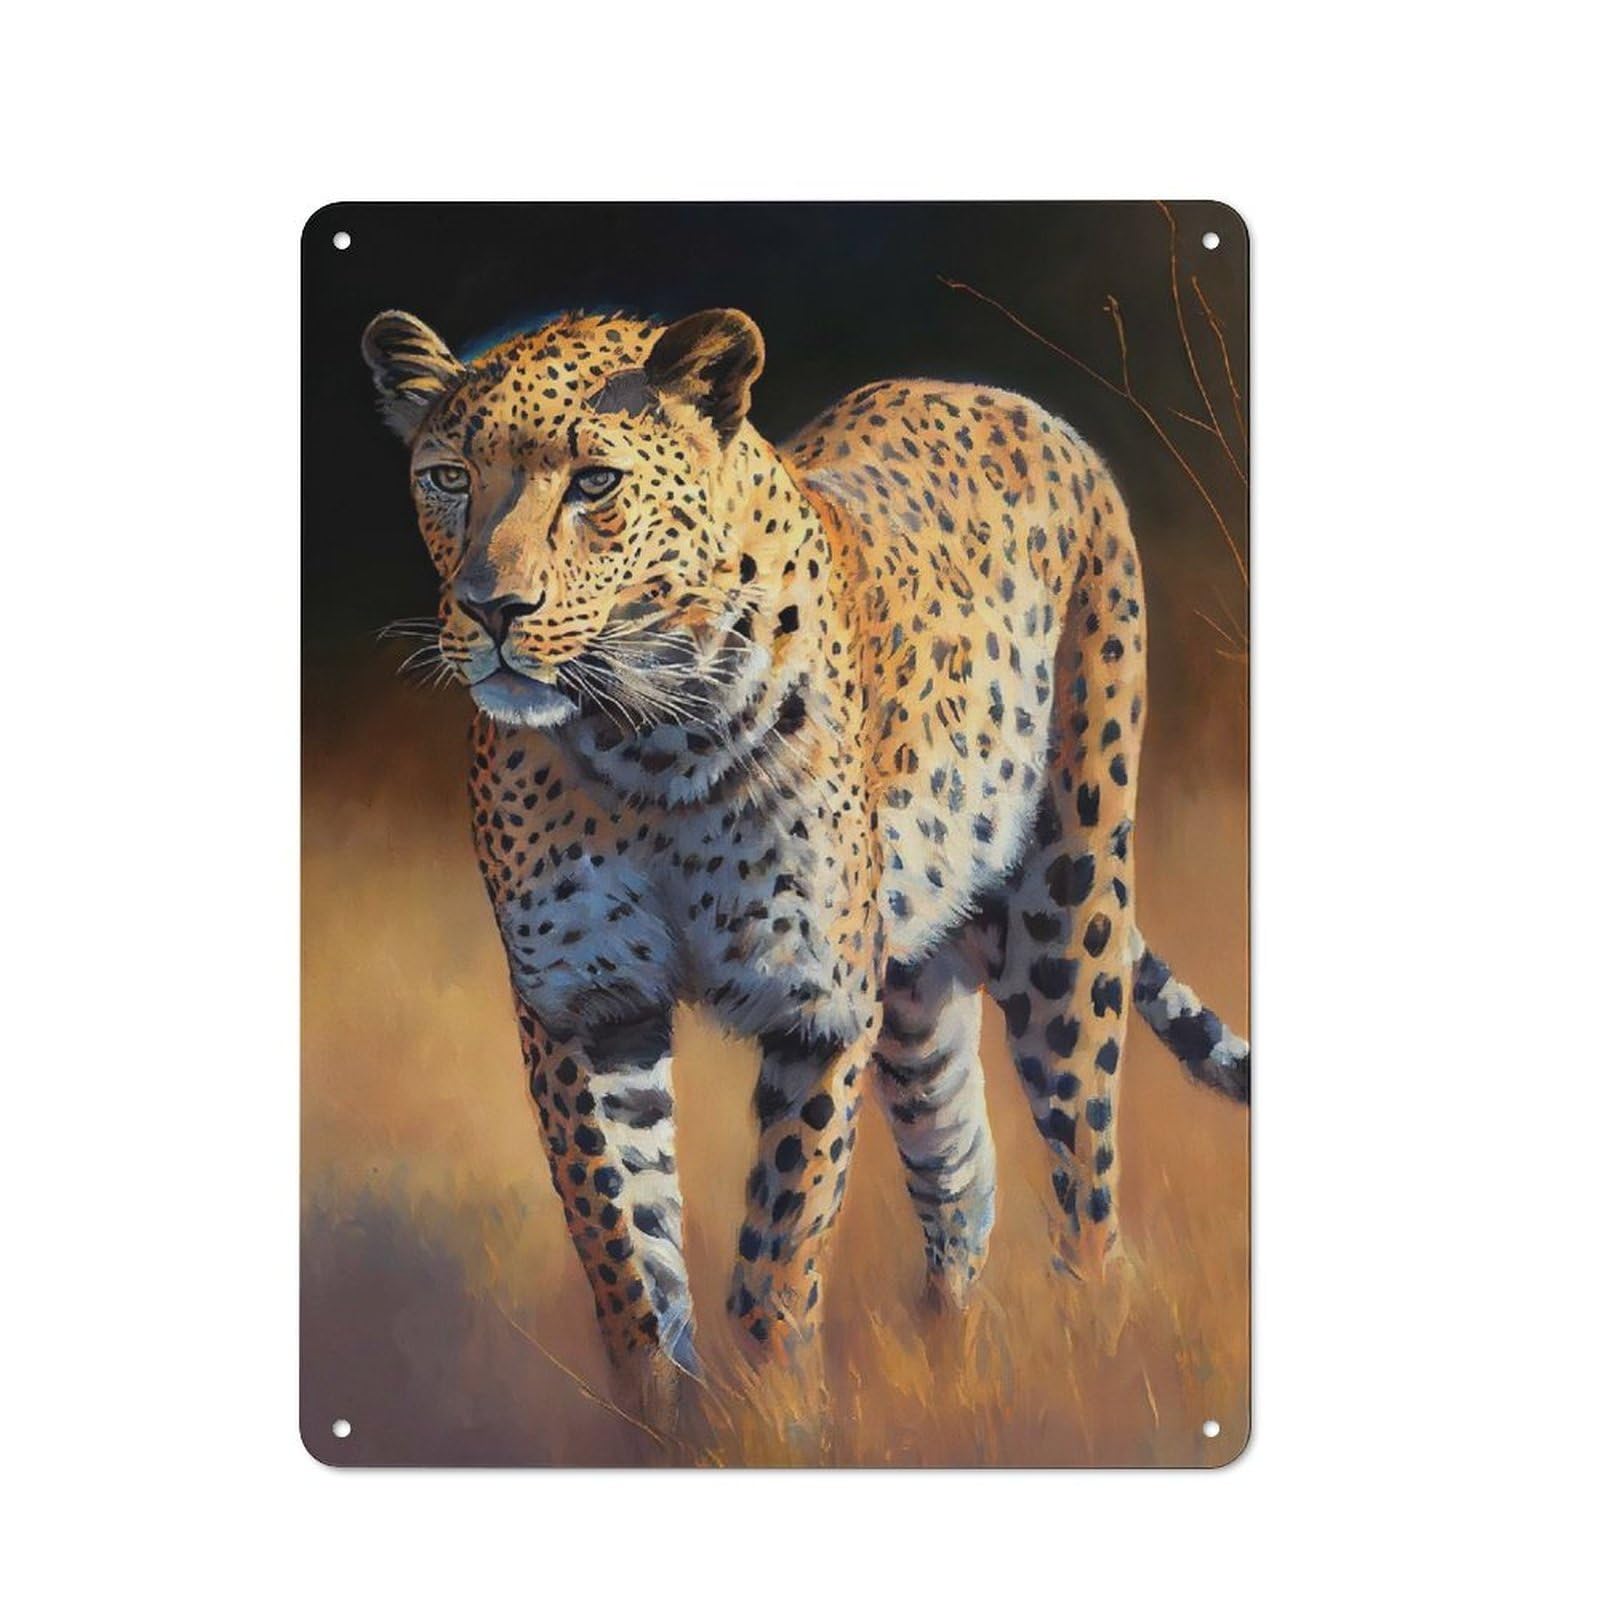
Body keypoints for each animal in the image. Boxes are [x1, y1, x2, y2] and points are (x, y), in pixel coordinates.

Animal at [361, 304, 1249, 1417]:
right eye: (446, 477)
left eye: (594, 482)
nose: (490, 609)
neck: (647, 741)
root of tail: (1003, 397)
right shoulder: (582, 1005)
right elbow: (621, 1241)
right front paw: (663, 1417)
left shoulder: (816, 1002)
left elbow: (780, 1240)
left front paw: (776, 1416)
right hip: (915, 985)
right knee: (962, 1174)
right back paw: (952, 1368)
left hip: (1069, 900)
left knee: (1085, 1169)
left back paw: (1094, 1360)